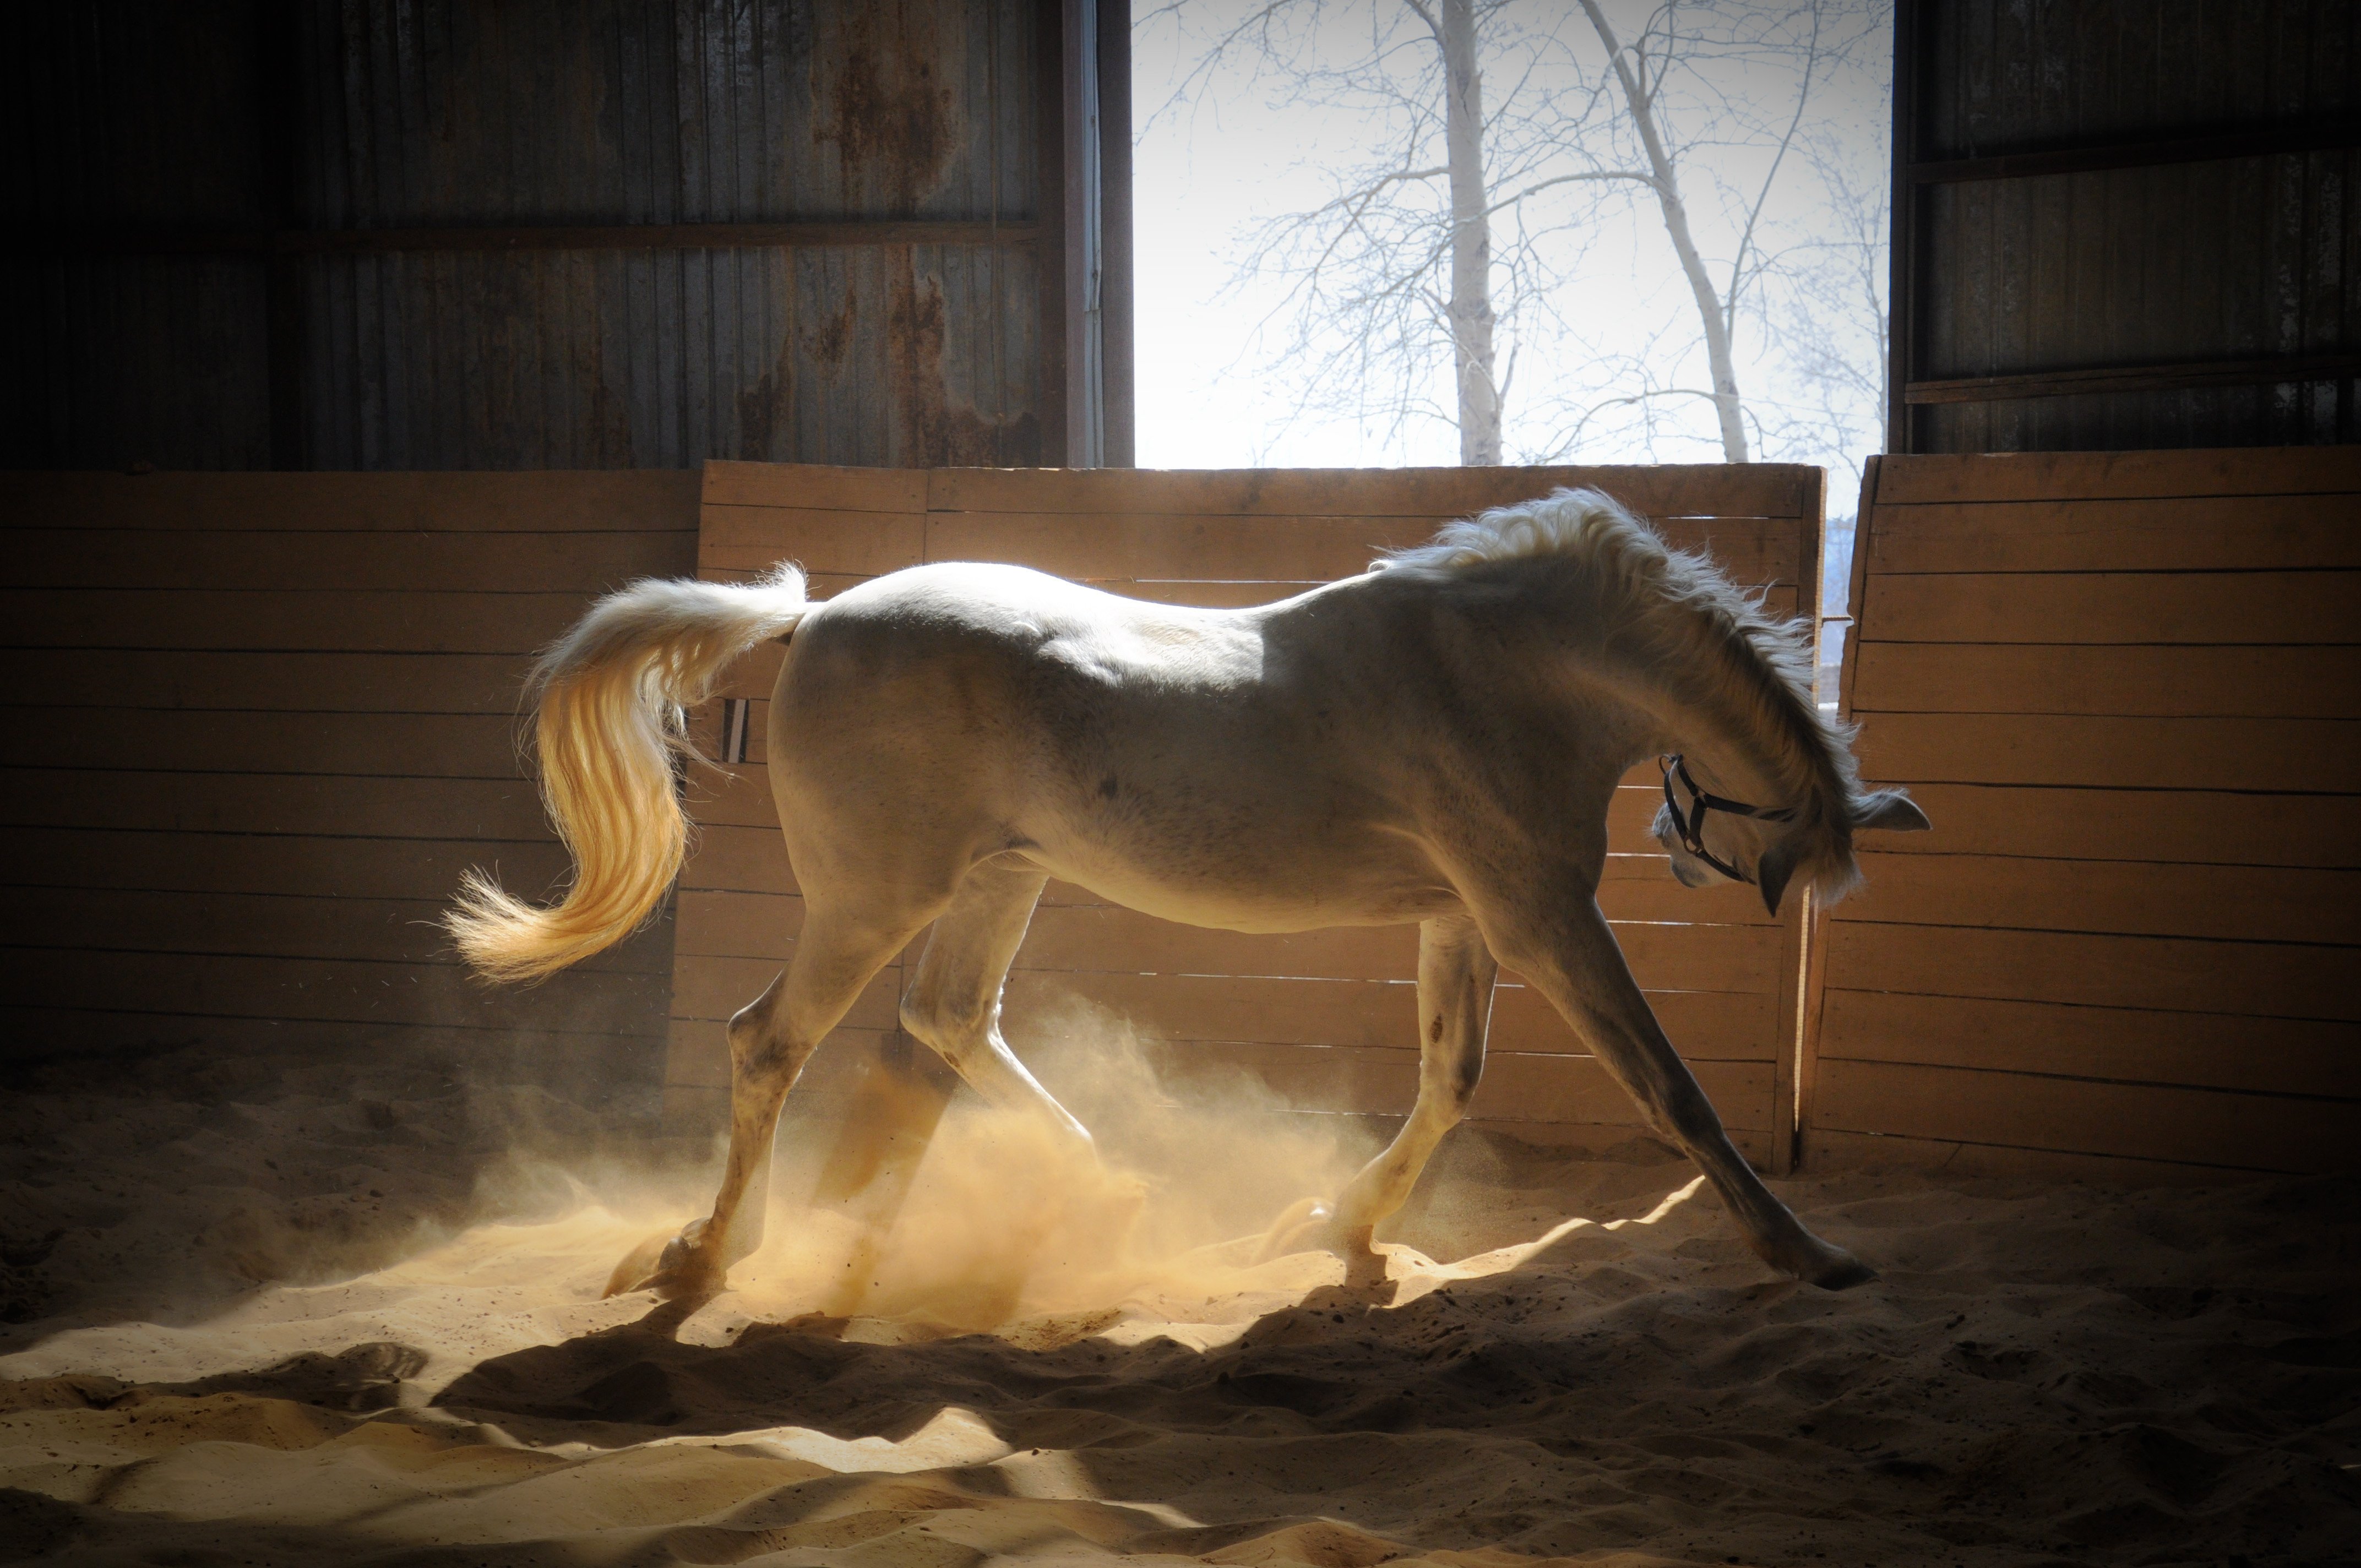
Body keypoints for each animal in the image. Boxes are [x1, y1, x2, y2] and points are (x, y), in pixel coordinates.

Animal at [448, 487, 1929, 1301]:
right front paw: (1807, 1252)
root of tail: (811, 619)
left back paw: (1108, 1188)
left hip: (999, 880)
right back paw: (707, 1254)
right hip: (871, 898)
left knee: (948, 1020)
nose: (1691, 853)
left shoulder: (1463, 918)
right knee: (771, 1040)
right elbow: (1669, 1090)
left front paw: (1334, 1226)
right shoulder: (1539, 915)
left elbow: (1448, 1080)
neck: (1501, 666)